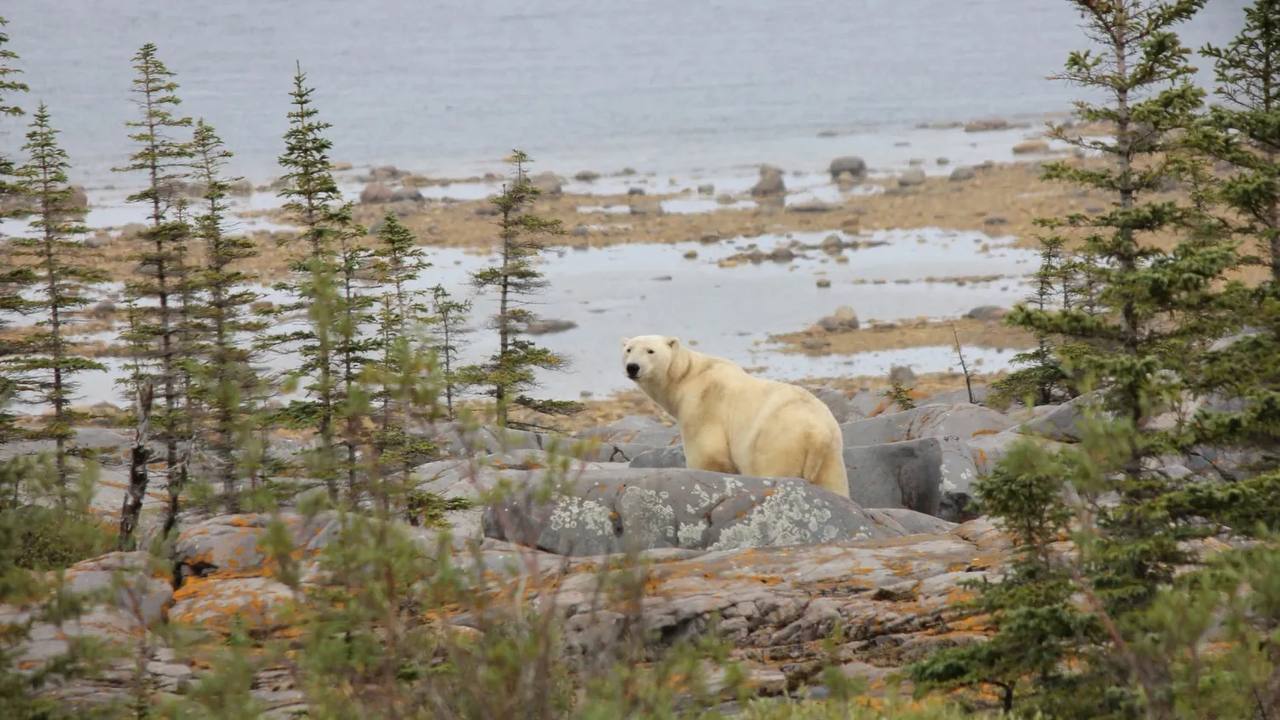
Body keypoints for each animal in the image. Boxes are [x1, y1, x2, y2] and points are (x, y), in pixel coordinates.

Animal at [622, 335, 849, 491]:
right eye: (628, 349)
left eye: (650, 351)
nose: (632, 367)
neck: (686, 376)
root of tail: (817, 434)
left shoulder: (703, 405)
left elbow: (708, 454)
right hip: (831, 458)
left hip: (778, 444)